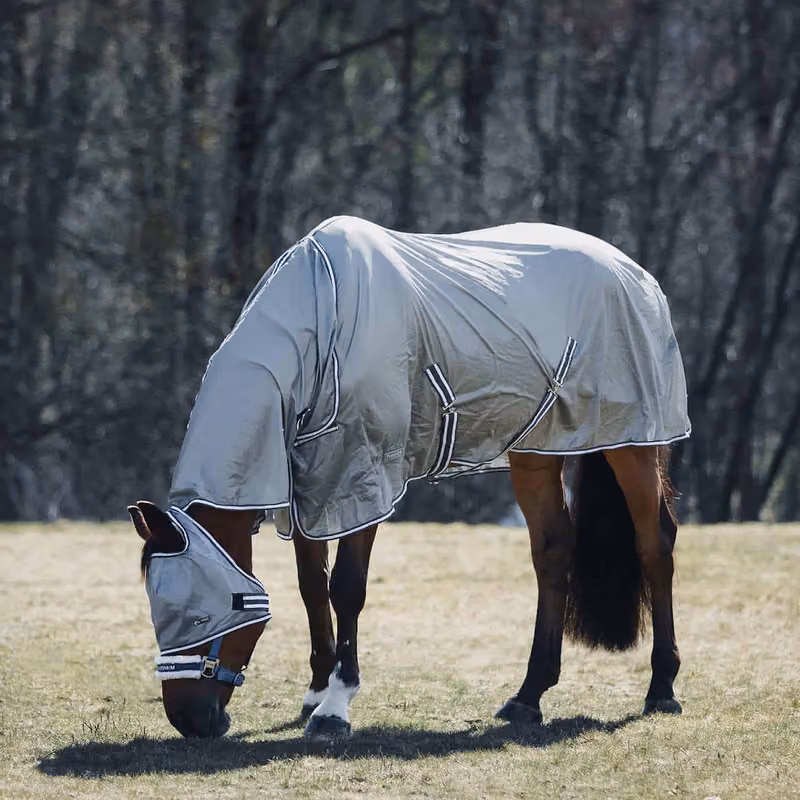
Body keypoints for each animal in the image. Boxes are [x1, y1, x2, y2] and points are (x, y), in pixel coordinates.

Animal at [129, 216, 690, 740]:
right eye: (158, 609)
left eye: (208, 612)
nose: (189, 720)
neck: (322, 320)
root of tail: (634, 274)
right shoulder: (305, 489)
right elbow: (312, 587)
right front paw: (314, 693)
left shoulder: (362, 475)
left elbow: (346, 589)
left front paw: (334, 707)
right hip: (536, 449)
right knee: (554, 551)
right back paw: (528, 697)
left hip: (632, 443)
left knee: (655, 544)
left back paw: (661, 689)